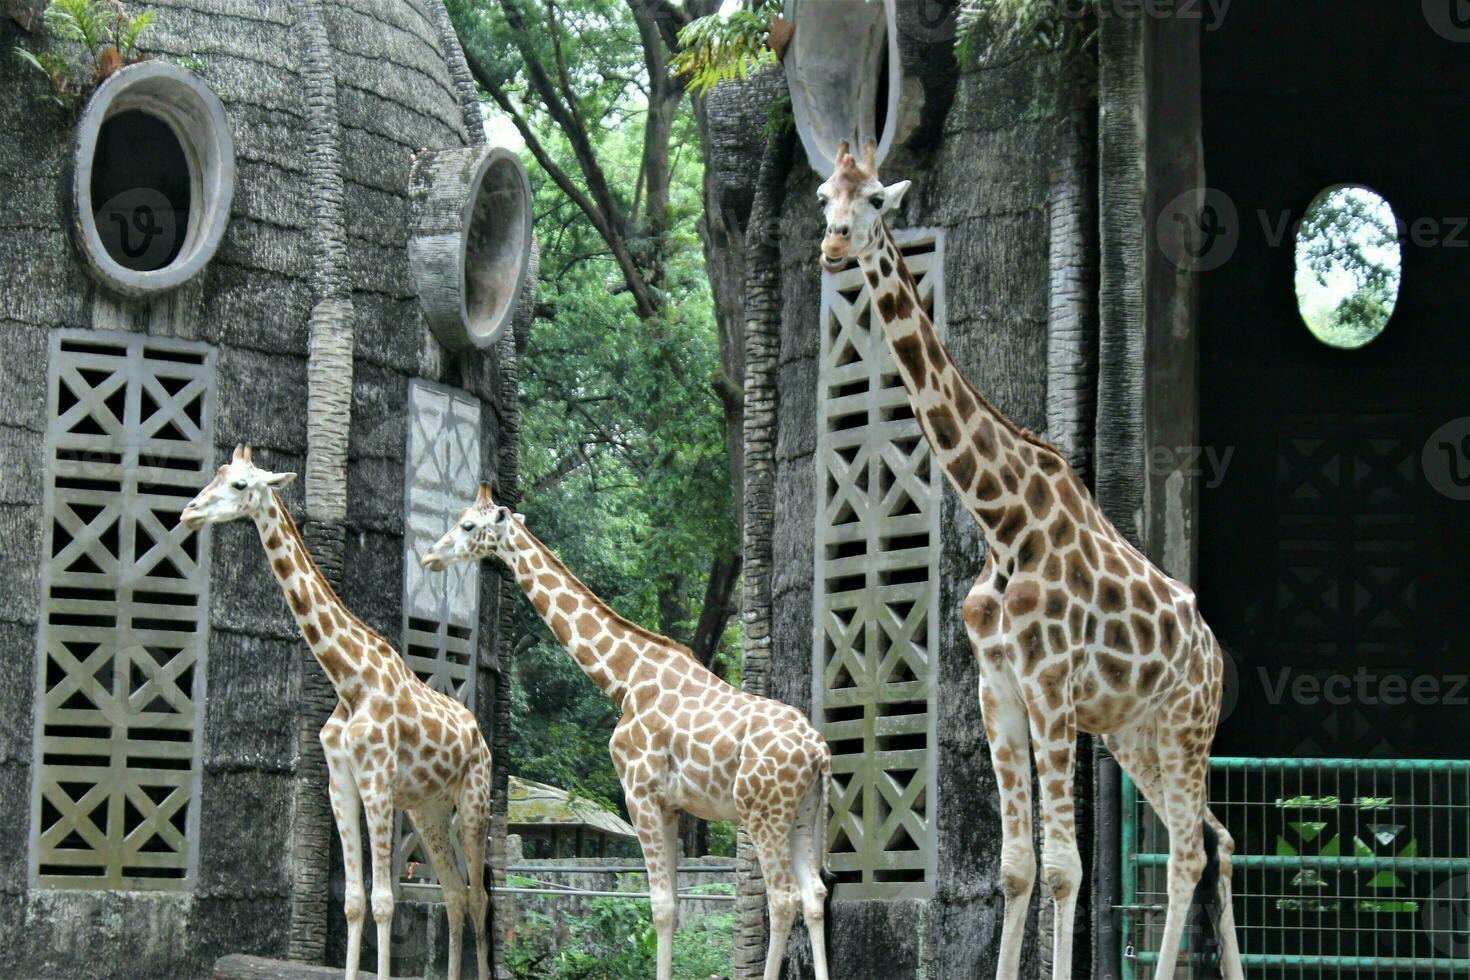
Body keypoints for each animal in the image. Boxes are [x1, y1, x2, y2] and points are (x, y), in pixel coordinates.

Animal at [182, 446, 493, 980]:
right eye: (216, 475)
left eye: (241, 485)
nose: (189, 512)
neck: (348, 679)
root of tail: (482, 738)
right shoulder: (340, 783)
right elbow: (352, 901)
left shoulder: (377, 783)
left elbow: (385, 902)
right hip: (428, 810)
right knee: (454, 894)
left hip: (474, 801)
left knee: (479, 898)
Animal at [426, 484, 834, 980]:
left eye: (467, 525)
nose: (430, 557)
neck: (623, 680)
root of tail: (819, 752)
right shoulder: (672, 804)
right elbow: (671, 903)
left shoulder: (640, 792)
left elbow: (661, 907)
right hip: (802, 814)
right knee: (814, 895)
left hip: (762, 813)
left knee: (783, 897)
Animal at [817, 143, 1240, 980]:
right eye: (824, 195)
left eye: (876, 197)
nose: (833, 245)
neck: (1002, 520)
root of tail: (1210, 651)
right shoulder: (999, 693)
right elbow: (1015, 868)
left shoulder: (1050, 692)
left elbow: (1065, 869)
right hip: (1135, 738)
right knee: (1216, 838)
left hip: (1187, 727)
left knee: (1188, 853)